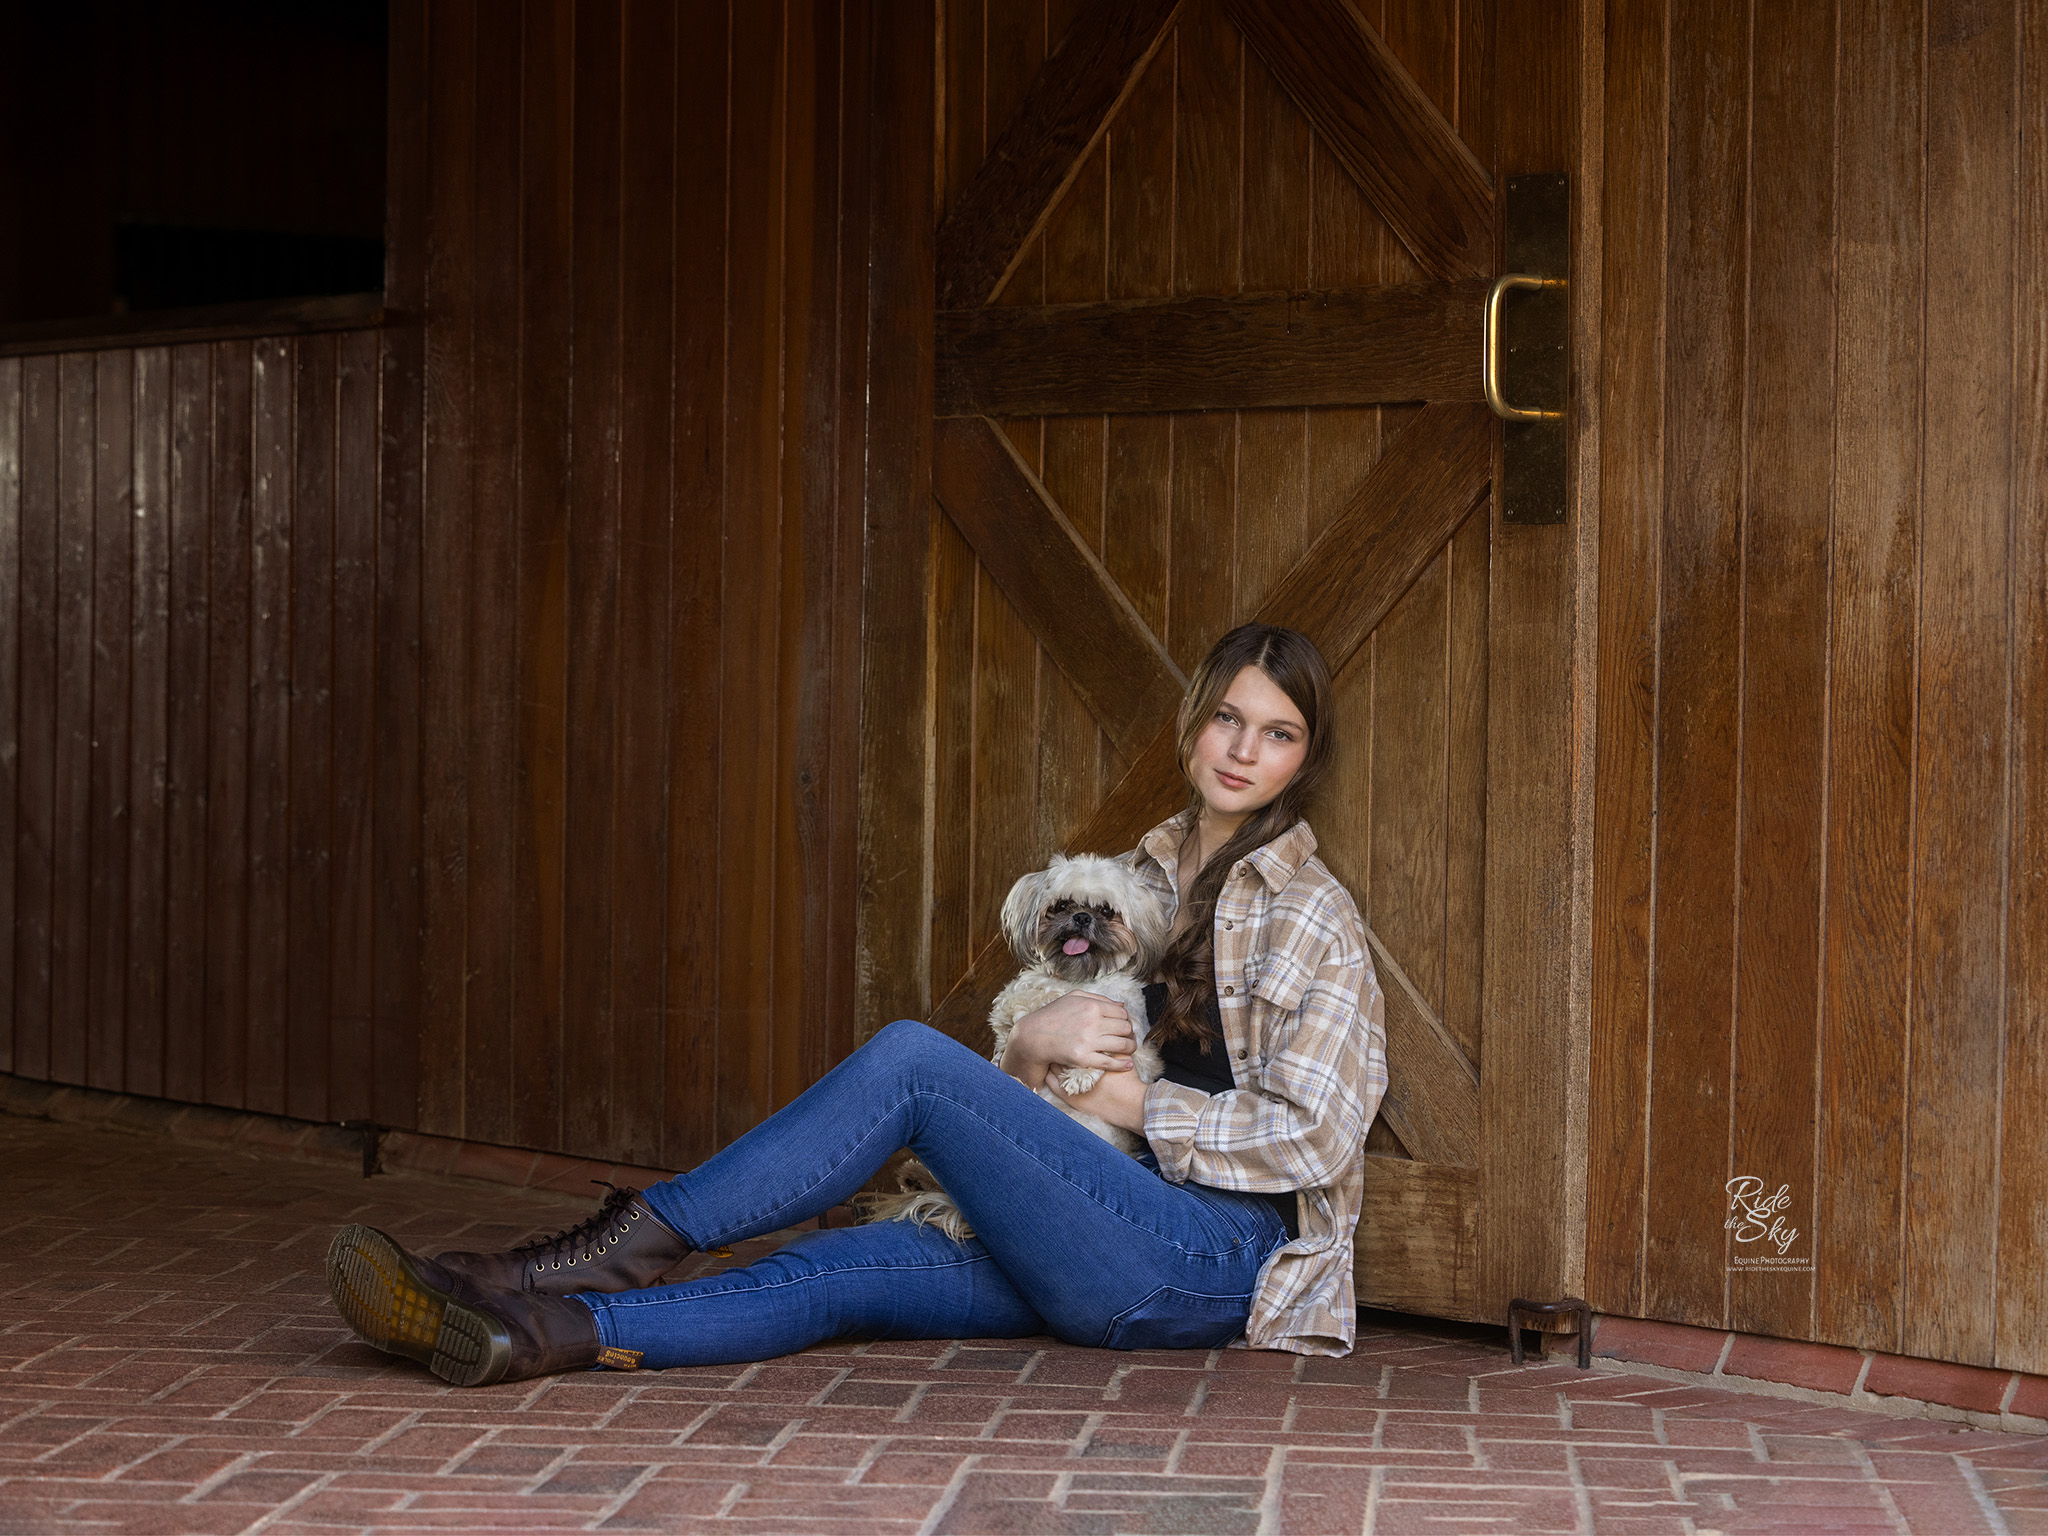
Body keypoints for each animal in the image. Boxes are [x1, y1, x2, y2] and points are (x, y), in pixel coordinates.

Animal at [868, 860, 1179, 1245]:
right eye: (1061, 905)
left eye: (1107, 911)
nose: (1081, 918)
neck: (1075, 982)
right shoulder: (1016, 1007)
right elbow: (1018, 1016)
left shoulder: (1131, 1036)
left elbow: (1114, 1055)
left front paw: (1079, 1075)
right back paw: (916, 1175)